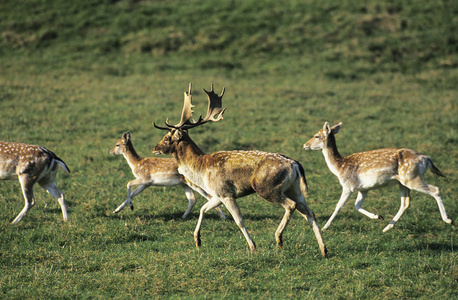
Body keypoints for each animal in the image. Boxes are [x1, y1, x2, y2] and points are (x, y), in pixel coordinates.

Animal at [152, 83, 328, 256]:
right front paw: (197, 240)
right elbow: (203, 209)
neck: (201, 169)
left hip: (268, 188)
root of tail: (295, 164)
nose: (155, 148)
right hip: (295, 189)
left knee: (291, 206)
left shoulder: (226, 192)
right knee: (309, 213)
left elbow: (239, 220)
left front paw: (252, 246)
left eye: (167, 138)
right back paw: (323, 249)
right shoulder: (218, 194)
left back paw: (279, 239)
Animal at [304, 122, 454, 232]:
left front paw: (324, 227)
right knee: (405, 202)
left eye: (316, 136)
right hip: (403, 182)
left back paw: (449, 220)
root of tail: (426, 158)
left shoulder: (348, 185)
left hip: (412, 178)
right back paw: (387, 227)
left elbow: (339, 206)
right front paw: (378, 216)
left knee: (435, 189)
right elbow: (356, 205)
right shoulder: (363, 189)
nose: (305, 145)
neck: (340, 167)